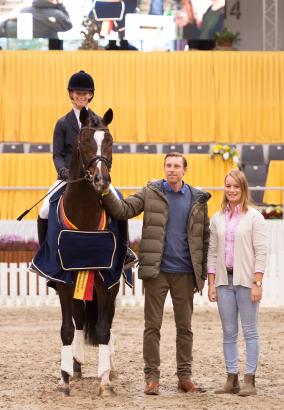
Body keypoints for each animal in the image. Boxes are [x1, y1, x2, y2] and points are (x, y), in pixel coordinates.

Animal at [32, 107, 125, 396]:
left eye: (110, 142)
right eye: (83, 143)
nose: (101, 180)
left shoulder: (108, 280)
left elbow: (104, 329)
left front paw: (105, 381)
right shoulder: (63, 279)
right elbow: (67, 329)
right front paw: (64, 379)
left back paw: (107, 368)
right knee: (79, 319)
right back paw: (76, 365)